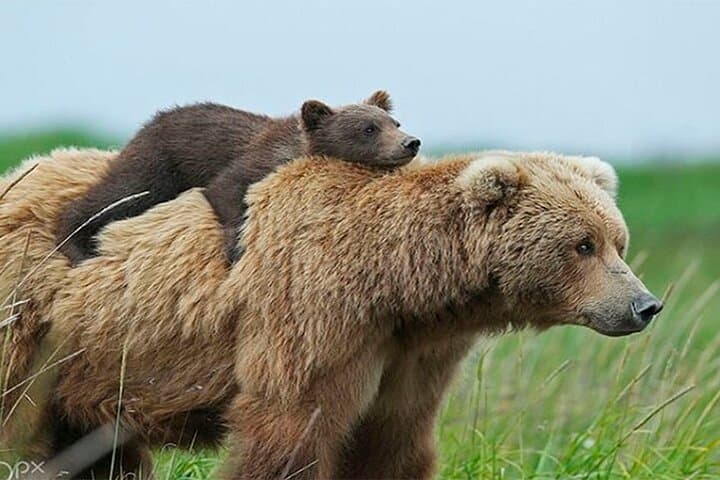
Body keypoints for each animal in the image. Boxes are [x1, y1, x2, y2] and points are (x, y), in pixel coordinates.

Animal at [0, 148, 662, 479]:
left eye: (618, 241)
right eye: (583, 244)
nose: (645, 305)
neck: (400, 285)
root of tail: (18, 171)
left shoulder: (409, 354)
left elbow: (391, 443)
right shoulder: (314, 313)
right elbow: (289, 430)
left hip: (84, 366)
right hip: (31, 320)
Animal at [54, 90, 420, 265]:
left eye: (394, 122)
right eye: (368, 128)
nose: (411, 142)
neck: (296, 148)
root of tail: (150, 121)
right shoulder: (254, 161)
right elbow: (227, 189)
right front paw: (236, 247)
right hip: (158, 163)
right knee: (119, 194)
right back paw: (74, 244)